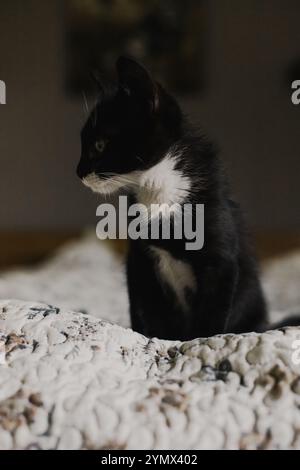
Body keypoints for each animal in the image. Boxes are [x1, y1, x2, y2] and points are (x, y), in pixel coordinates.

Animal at [77, 57, 296, 340]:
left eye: (100, 145)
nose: (78, 171)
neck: (158, 188)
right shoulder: (139, 261)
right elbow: (142, 308)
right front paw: (149, 338)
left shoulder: (220, 262)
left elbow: (211, 316)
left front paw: (199, 342)